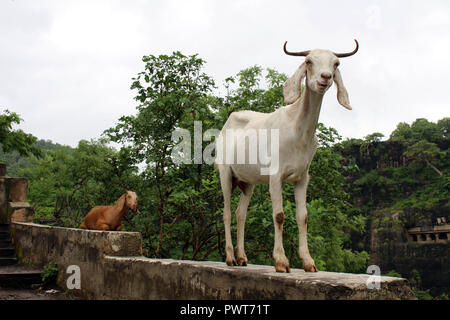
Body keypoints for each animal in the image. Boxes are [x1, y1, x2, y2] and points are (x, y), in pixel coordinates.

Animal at [214, 40, 358, 274]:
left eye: (336, 63)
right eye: (308, 61)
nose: (325, 77)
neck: (298, 130)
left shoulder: (302, 177)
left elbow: (303, 217)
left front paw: (308, 262)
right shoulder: (275, 175)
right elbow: (279, 215)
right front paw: (281, 261)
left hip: (248, 181)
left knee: (240, 213)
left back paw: (242, 257)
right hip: (226, 172)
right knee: (226, 212)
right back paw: (230, 258)